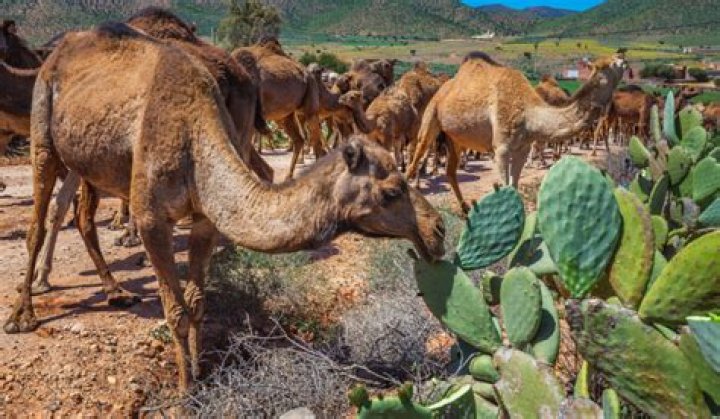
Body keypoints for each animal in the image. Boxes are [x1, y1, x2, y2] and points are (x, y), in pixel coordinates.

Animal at [232, 38, 328, 180]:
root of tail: (307, 72)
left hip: (310, 100)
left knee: (315, 138)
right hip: (284, 115)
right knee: (299, 138)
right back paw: (289, 176)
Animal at [406, 52, 626, 212]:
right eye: (610, 64)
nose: (623, 59)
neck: (531, 114)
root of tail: (445, 87)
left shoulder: (522, 148)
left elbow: (514, 187)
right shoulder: (501, 149)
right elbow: (505, 187)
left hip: (455, 138)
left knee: (451, 171)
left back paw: (466, 210)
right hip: (431, 115)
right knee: (415, 157)